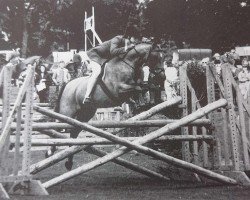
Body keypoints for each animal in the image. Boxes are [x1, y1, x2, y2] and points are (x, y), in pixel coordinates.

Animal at [52, 42, 165, 170]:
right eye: (156, 57)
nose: (162, 77)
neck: (127, 64)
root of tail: (68, 84)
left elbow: (145, 87)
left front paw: (142, 102)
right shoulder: (119, 90)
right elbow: (138, 87)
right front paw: (139, 100)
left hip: (85, 113)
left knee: (74, 132)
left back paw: (69, 162)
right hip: (67, 112)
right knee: (57, 128)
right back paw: (50, 152)